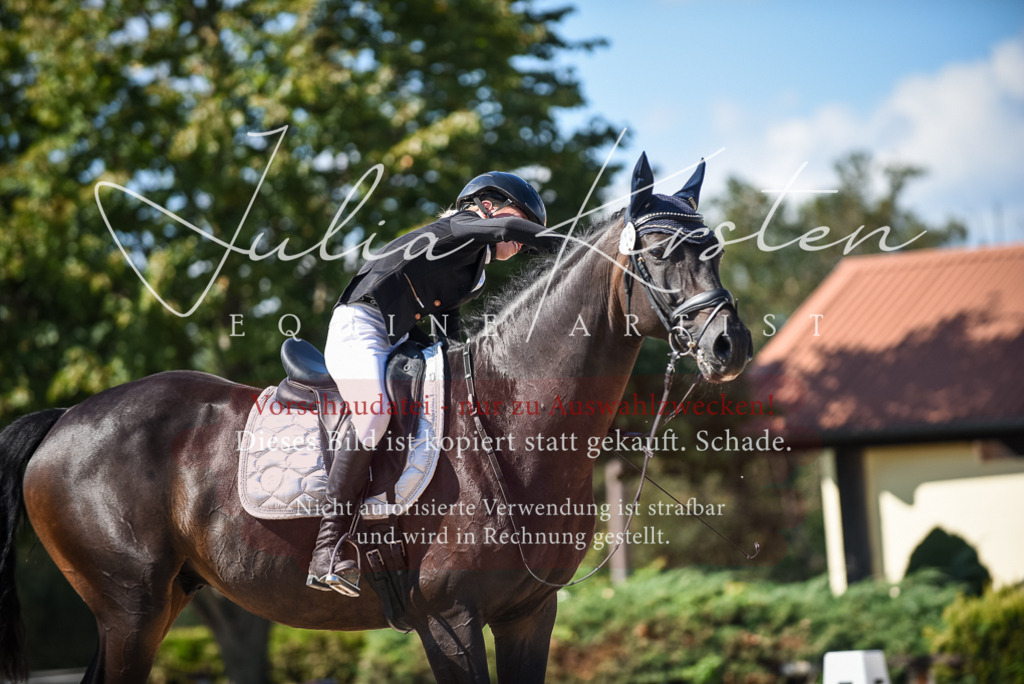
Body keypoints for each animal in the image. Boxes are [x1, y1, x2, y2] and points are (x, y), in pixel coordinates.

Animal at [0, 153, 751, 683]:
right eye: (660, 253)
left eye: (713, 249)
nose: (729, 346)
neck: (509, 426)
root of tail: (68, 418)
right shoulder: (449, 621)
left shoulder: (530, 616)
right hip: (130, 607)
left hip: (153, 607)